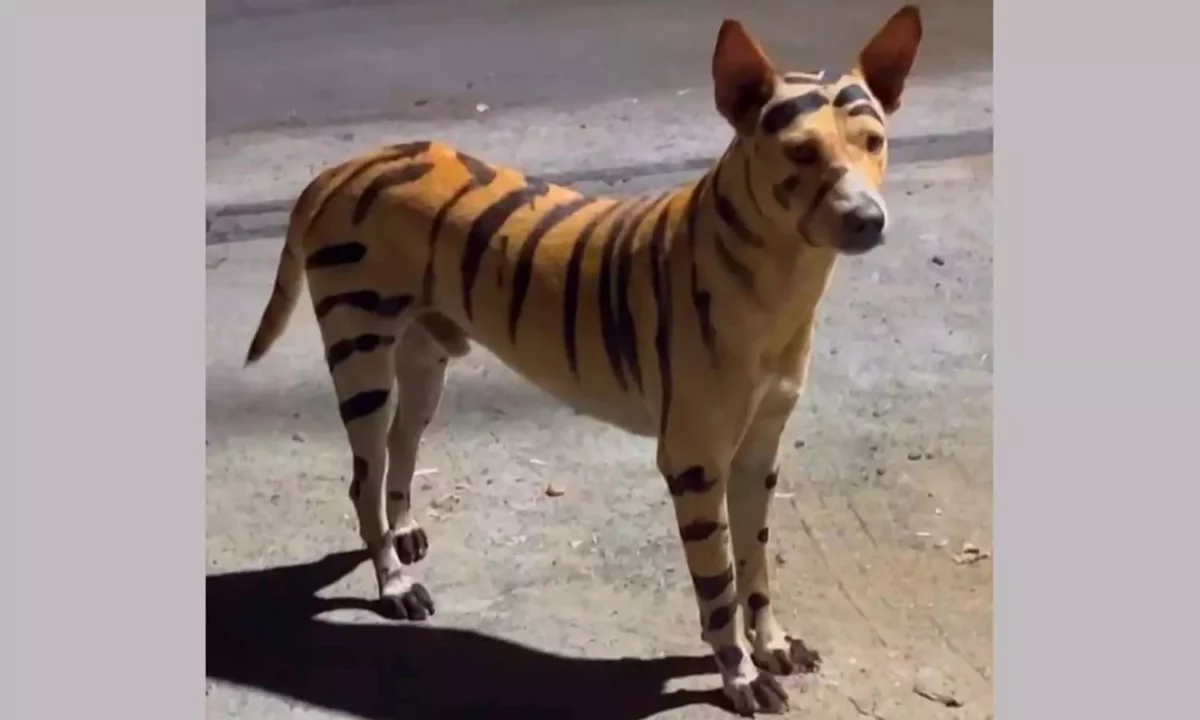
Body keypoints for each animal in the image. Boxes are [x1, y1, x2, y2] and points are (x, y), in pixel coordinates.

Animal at [238, 5, 921, 715]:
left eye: (873, 142)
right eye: (800, 152)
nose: (868, 220)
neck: (778, 281)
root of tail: (344, 165)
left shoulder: (758, 455)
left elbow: (755, 568)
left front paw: (773, 645)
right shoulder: (695, 464)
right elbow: (719, 587)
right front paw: (738, 675)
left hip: (424, 361)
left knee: (401, 448)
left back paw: (404, 530)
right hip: (362, 364)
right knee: (363, 481)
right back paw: (393, 583)